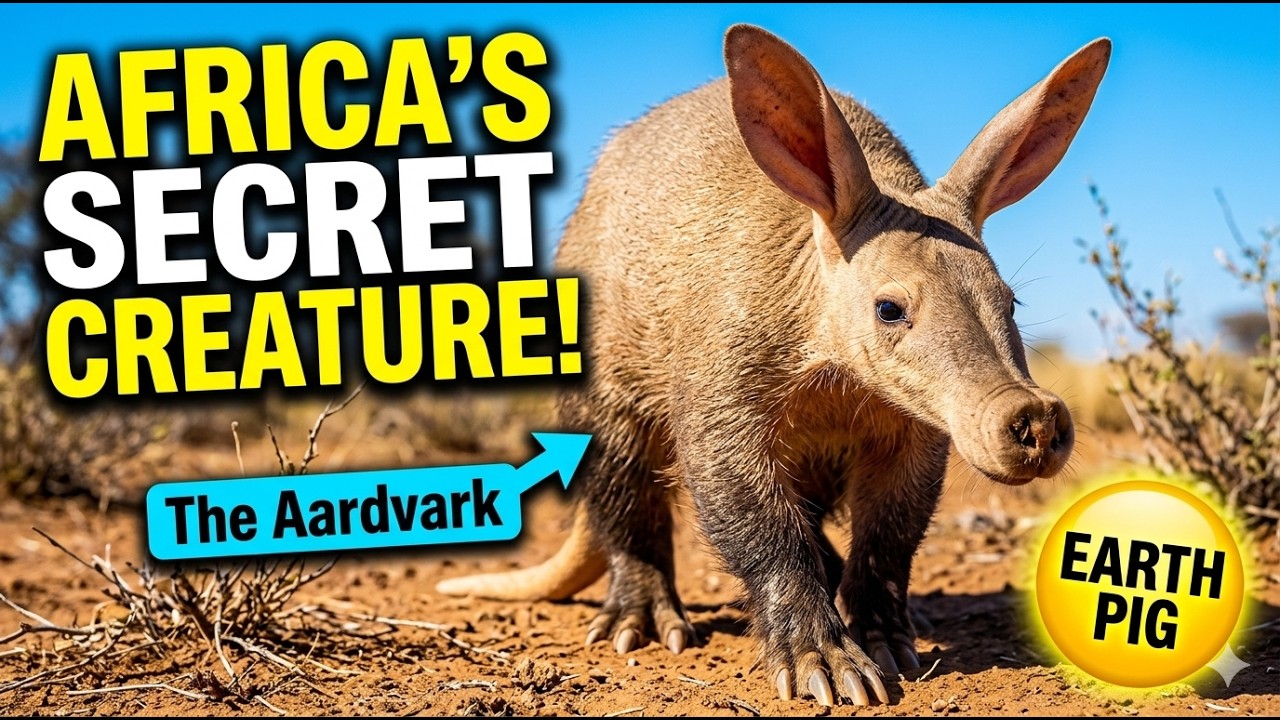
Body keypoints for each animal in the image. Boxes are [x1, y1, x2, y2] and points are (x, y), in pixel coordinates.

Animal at [438, 24, 1109, 706]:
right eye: (889, 309)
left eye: (1011, 300)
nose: (1034, 418)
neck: (837, 375)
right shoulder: (721, 380)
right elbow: (752, 515)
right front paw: (827, 663)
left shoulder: (915, 426)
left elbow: (892, 530)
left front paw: (887, 638)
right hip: (607, 386)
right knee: (625, 491)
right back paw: (641, 620)